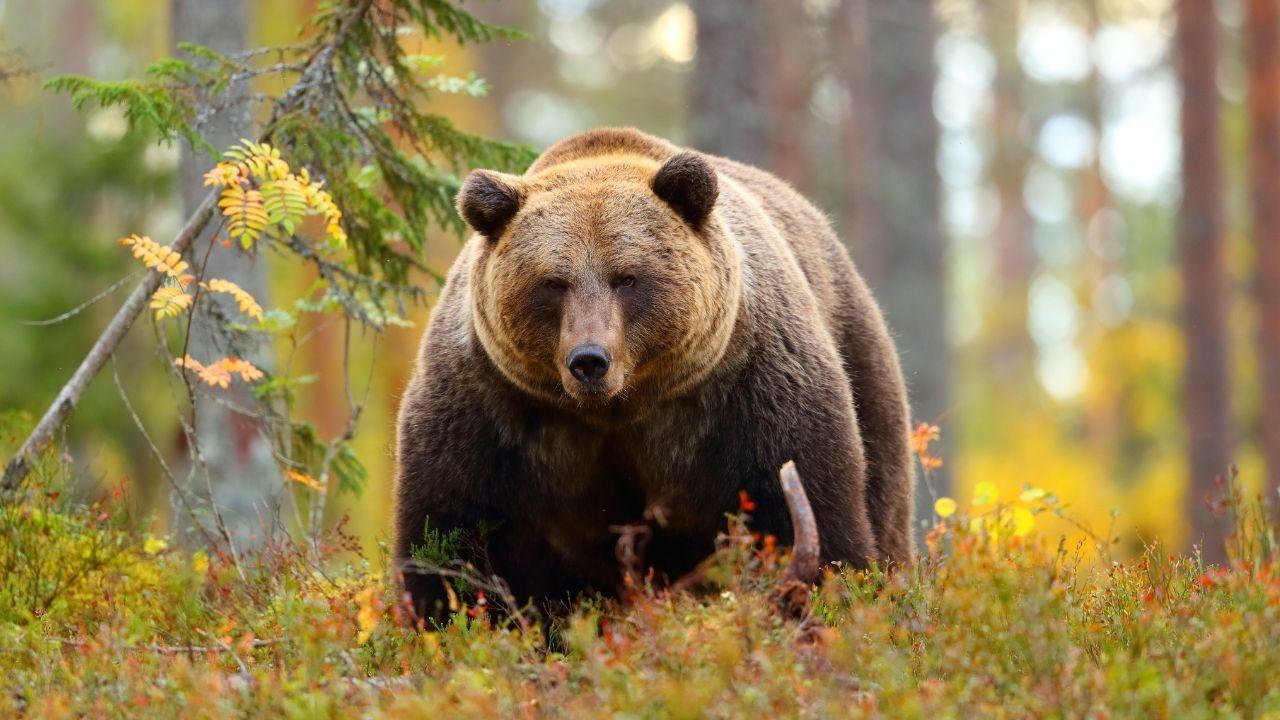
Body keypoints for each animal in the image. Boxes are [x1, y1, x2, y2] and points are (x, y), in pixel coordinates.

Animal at [394, 127, 915, 621]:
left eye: (627, 277)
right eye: (553, 282)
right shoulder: (490, 410)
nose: (589, 359)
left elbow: (808, 512)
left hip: (861, 359)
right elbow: (449, 533)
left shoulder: (750, 392)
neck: (620, 408)